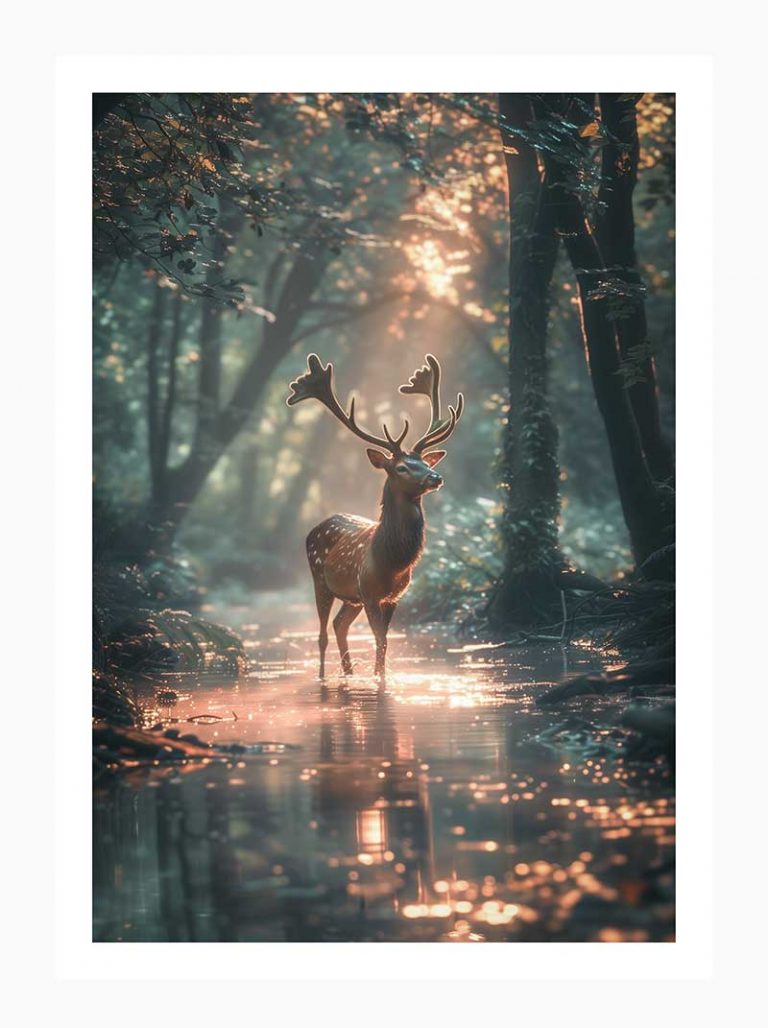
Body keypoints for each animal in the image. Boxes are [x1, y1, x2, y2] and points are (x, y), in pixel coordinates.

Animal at [286, 352, 464, 679]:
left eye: (424, 462)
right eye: (402, 467)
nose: (436, 477)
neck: (391, 560)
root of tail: (315, 527)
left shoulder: (392, 596)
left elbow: (384, 642)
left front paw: (380, 676)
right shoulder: (368, 591)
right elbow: (379, 639)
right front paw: (379, 678)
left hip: (350, 597)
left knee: (339, 625)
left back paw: (349, 674)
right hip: (320, 579)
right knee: (322, 633)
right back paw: (323, 677)